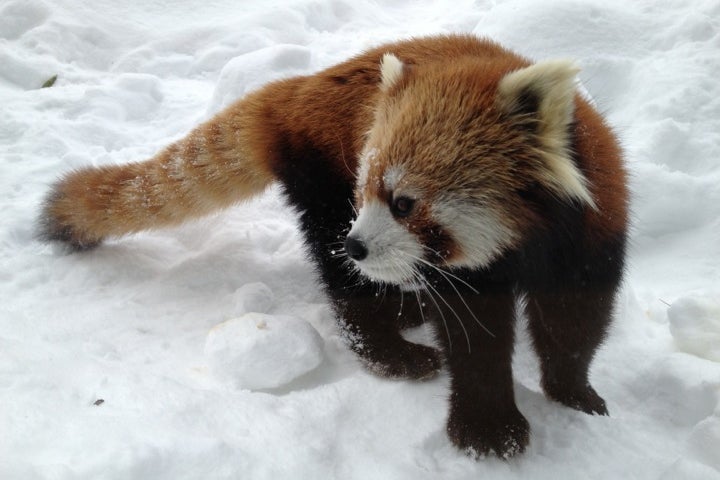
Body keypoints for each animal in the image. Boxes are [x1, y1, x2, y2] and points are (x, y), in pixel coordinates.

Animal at [39, 35, 628, 460]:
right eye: (365, 191)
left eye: (404, 203)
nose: (358, 245)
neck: (526, 241)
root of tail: (299, 85)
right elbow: (473, 338)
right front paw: (487, 428)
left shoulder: (591, 236)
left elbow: (576, 321)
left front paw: (574, 393)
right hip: (320, 176)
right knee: (346, 285)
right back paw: (393, 350)